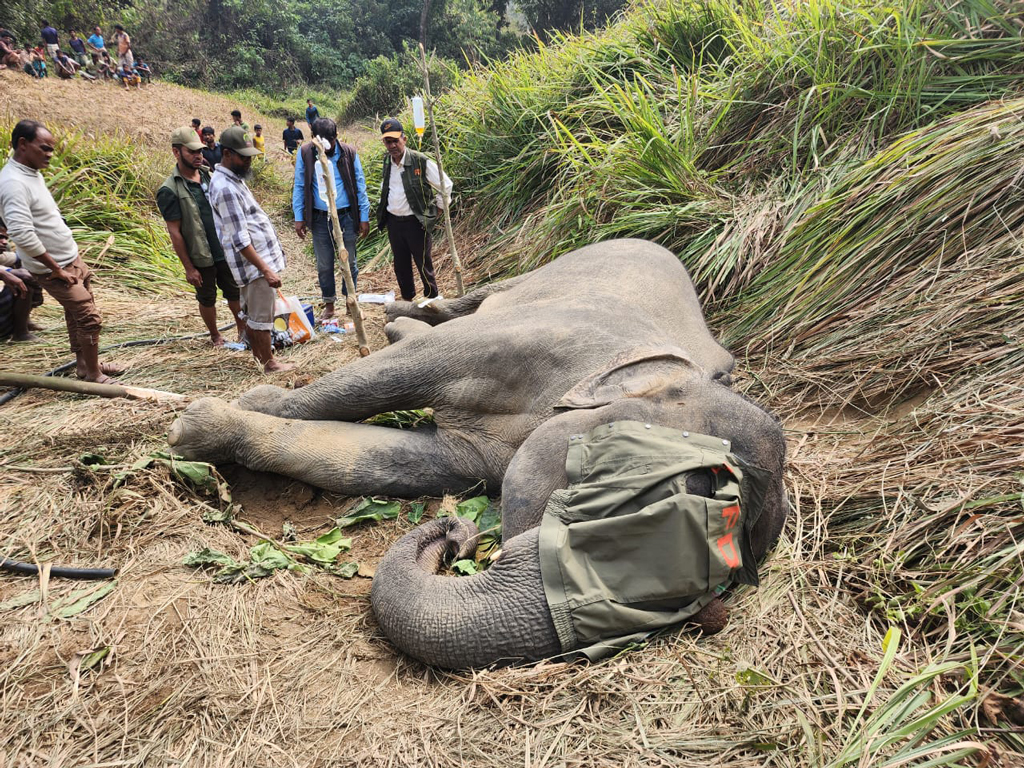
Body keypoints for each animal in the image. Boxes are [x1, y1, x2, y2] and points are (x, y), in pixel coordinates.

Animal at [167, 237, 782, 671]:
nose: (458, 533)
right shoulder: (542, 336)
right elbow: (397, 374)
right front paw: (210, 418)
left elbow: (405, 463)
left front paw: (209, 426)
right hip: (555, 267)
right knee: (468, 303)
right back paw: (398, 317)